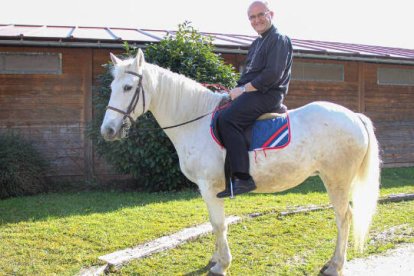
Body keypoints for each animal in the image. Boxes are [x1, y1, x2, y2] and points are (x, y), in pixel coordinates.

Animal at [101, 50, 382, 276]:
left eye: (128, 87)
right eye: (113, 87)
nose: (108, 131)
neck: (196, 121)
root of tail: (354, 117)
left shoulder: (209, 187)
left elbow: (218, 224)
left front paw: (221, 264)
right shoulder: (209, 190)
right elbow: (214, 225)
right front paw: (215, 259)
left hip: (336, 181)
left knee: (344, 218)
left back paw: (334, 266)